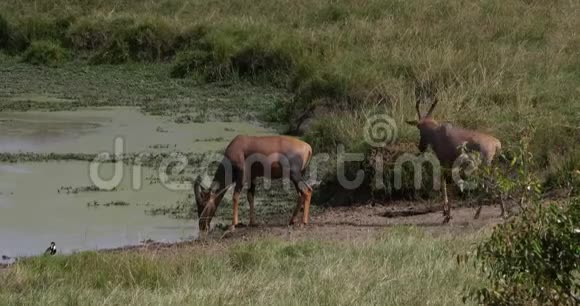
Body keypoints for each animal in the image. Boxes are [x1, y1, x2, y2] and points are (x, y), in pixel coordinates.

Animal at [404, 83, 502, 222]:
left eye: (419, 127)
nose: (420, 147)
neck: (439, 132)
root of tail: (496, 143)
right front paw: (446, 213)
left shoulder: (445, 164)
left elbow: (445, 183)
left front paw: (447, 215)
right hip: (493, 166)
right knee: (497, 184)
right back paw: (502, 212)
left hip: (484, 167)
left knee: (487, 186)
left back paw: (477, 213)